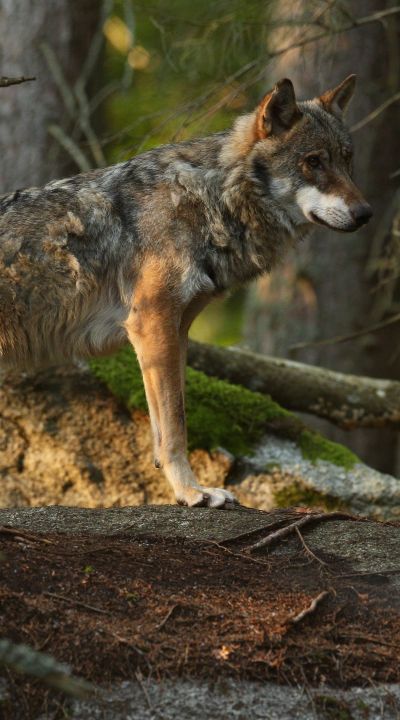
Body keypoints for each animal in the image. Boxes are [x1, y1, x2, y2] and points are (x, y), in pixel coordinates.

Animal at [0, 75, 372, 508]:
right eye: (313, 162)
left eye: (347, 160)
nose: (366, 214)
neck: (210, 197)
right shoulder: (153, 325)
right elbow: (175, 427)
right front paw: (192, 493)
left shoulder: (176, 332)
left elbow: (169, 425)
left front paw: (188, 489)